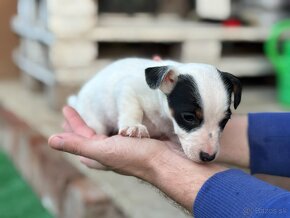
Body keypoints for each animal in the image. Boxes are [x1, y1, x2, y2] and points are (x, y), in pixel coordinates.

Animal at [68, 57, 242, 163]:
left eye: (225, 120)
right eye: (188, 117)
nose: (208, 157)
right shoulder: (128, 88)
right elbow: (133, 108)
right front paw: (134, 126)